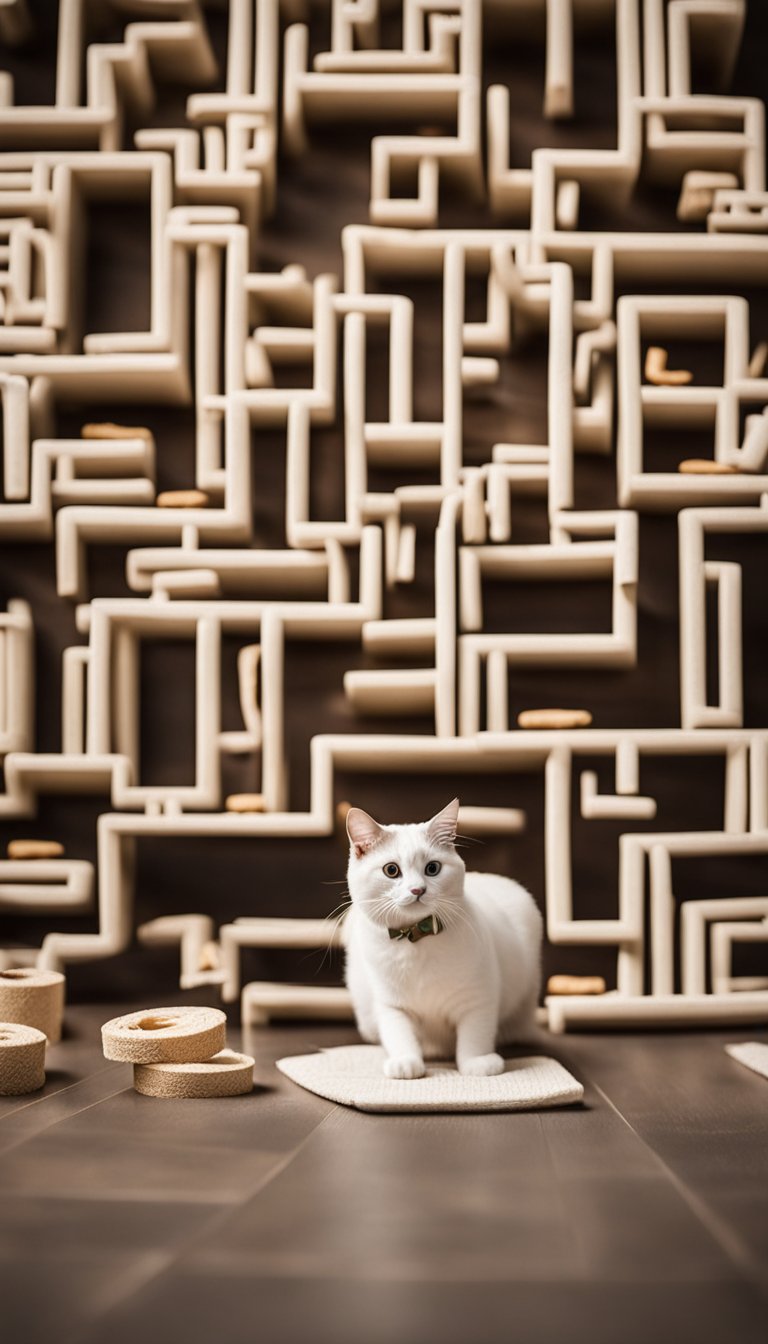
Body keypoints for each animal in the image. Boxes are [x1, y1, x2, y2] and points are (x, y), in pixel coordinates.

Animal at [344, 795, 543, 1080]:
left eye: (432, 868)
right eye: (391, 870)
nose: (417, 890)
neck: (416, 938)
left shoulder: (478, 996)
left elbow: (475, 1033)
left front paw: (478, 1062)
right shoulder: (390, 1004)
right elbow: (398, 1033)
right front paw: (405, 1061)